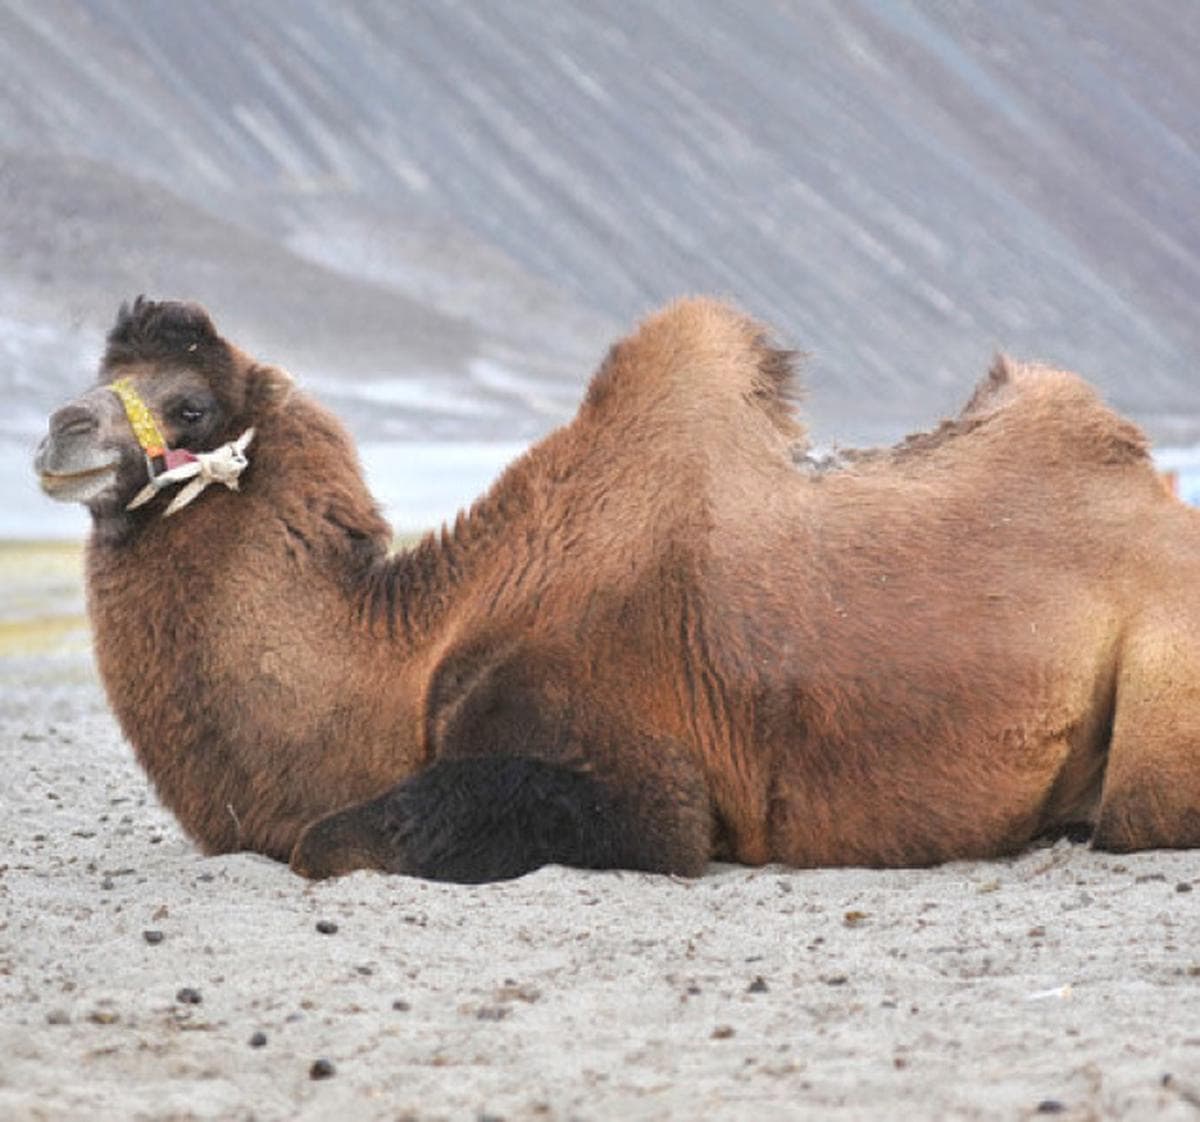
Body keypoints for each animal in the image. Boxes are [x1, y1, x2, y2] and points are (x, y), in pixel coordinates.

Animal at [34, 296, 1200, 883]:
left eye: (187, 406)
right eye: (102, 378)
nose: (56, 431)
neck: (404, 658)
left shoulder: (647, 783)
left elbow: (333, 840)